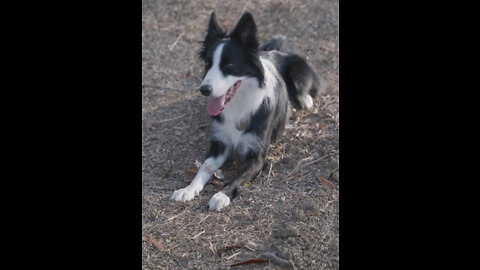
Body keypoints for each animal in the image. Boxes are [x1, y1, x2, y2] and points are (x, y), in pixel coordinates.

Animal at [169, 11, 322, 211]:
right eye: (208, 64)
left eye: (229, 65)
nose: (204, 90)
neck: (239, 104)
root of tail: (274, 51)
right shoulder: (219, 144)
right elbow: (204, 167)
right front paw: (188, 189)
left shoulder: (256, 156)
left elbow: (236, 178)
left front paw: (221, 195)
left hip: (299, 71)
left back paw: (305, 100)